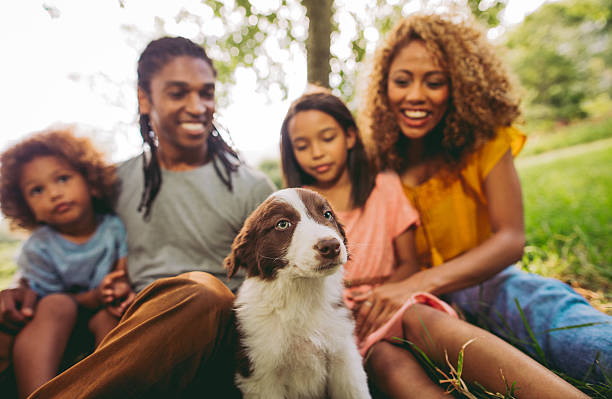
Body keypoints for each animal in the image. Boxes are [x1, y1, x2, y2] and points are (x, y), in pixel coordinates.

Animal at [224, 188, 368, 399]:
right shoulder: (260, 373)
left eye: (327, 214)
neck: (302, 294)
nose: (331, 246)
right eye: (282, 224)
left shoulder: (344, 356)